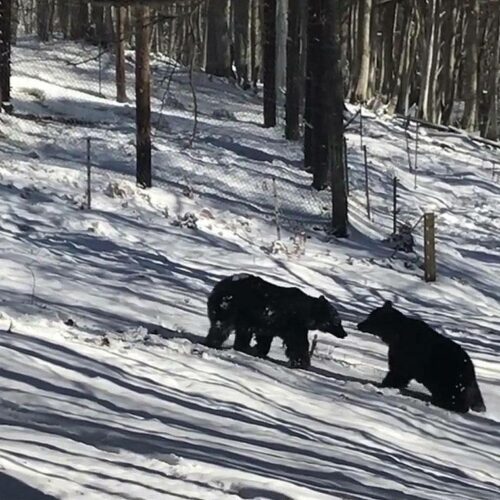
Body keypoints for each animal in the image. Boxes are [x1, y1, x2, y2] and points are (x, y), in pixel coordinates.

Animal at [204, 274, 348, 368]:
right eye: (337, 321)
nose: (344, 334)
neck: (306, 315)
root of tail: (219, 285)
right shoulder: (292, 323)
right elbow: (298, 344)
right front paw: (302, 362)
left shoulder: (270, 323)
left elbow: (264, 339)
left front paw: (258, 350)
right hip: (231, 307)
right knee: (222, 326)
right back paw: (214, 343)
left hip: (242, 315)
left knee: (240, 332)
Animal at [358, 300, 486, 414]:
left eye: (371, 318)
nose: (359, 324)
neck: (395, 335)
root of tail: (471, 367)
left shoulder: (406, 355)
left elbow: (398, 372)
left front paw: (385, 385)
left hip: (449, 375)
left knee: (454, 395)